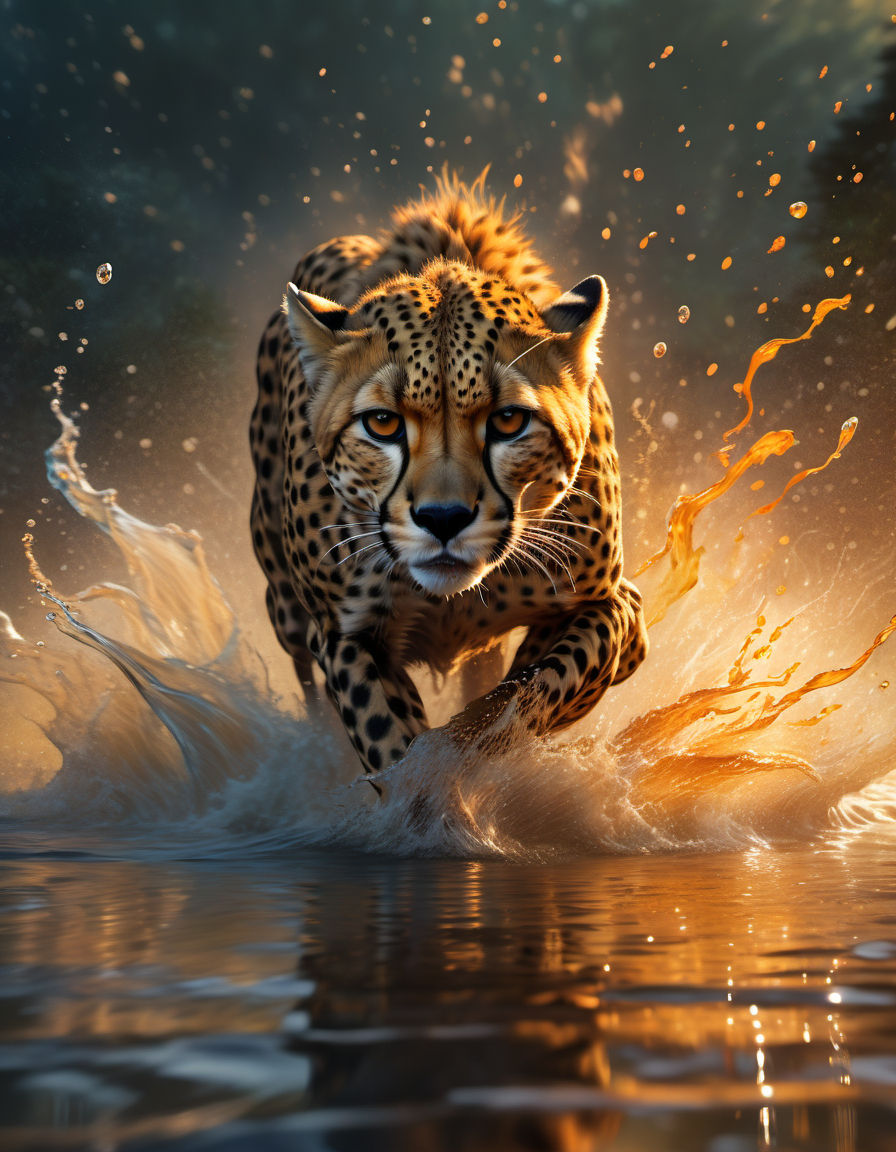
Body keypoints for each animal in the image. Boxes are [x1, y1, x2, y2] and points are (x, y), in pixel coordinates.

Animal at [250, 172, 648, 791]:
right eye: (382, 423)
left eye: (508, 421)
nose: (443, 520)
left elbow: (542, 684)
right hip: (285, 611)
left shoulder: (613, 604)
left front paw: (478, 750)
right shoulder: (343, 636)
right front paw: (427, 790)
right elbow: (391, 742)